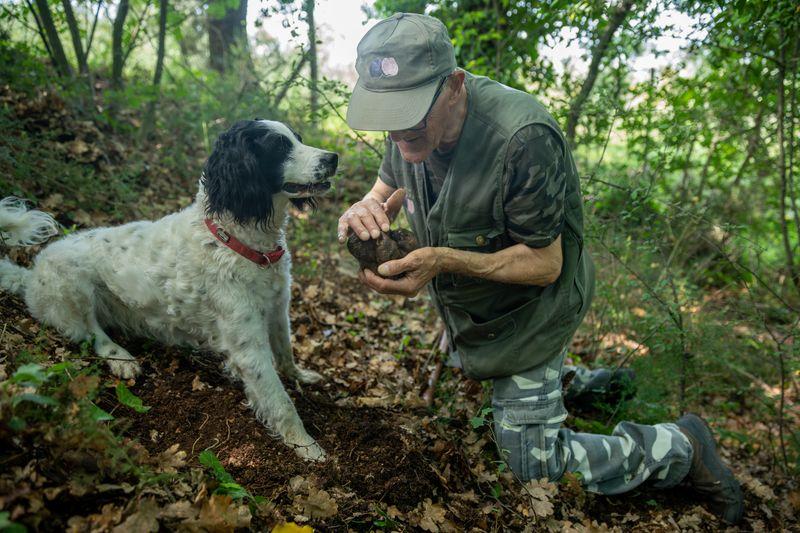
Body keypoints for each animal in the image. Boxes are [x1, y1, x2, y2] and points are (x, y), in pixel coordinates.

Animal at [0, 118, 338, 460]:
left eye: (298, 138)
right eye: (279, 147)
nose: (334, 157)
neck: (232, 240)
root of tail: (30, 275)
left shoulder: (278, 308)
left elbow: (286, 352)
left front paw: (301, 376)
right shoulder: (248, 348)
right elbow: (281, 403)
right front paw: (308, 448)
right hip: (74, 286)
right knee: (91, 334)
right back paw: (121, 358)